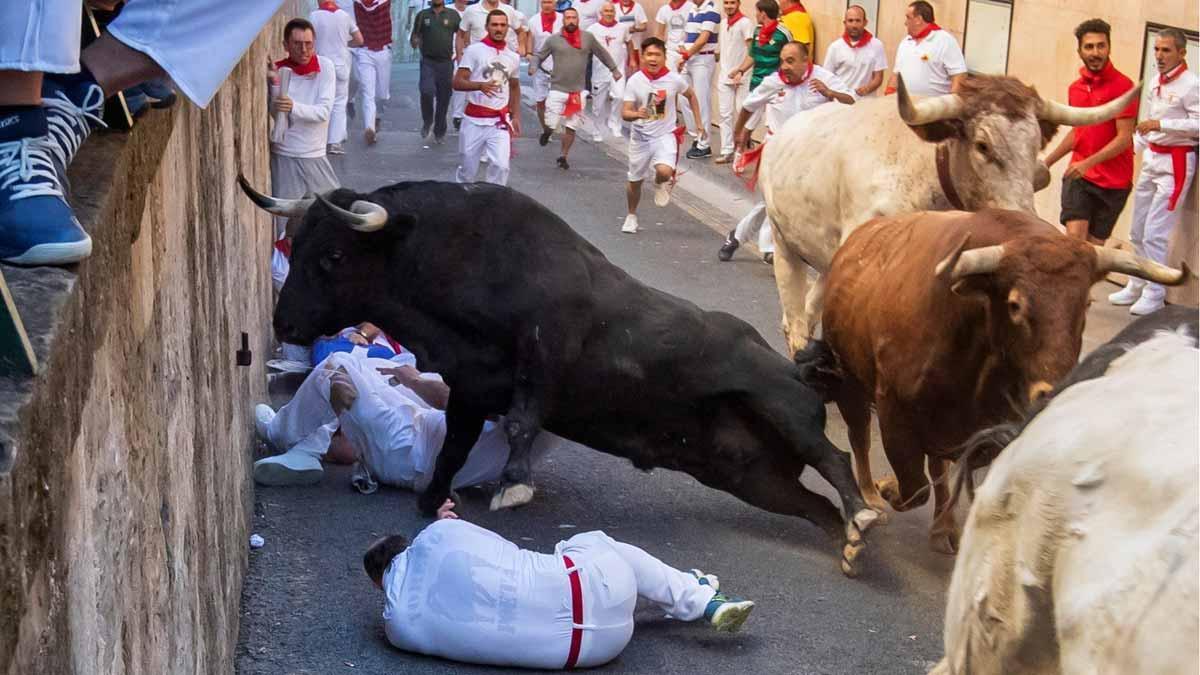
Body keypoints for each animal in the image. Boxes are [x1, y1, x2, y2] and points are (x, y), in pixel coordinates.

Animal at [246, 177, 883, 571]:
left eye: (333, 255)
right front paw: (432, 500)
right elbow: (453, 447)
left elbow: (525, 418)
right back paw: (849, 547)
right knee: (815, 506)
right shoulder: (468, 387)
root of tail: (796, 367)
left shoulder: (548, 342)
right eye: (296, 244)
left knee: (835, 459)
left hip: (778, 403)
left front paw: (514, 485)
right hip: (751, 476)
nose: (284, 321)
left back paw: (864, 514)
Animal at [811, 208, 1185, 552]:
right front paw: (886, 490)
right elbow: (914, 486)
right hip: (850, 382)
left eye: (1086, 303)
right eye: (1016, 304)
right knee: (860, 436)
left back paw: (943, 526)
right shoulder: (894, 410)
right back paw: (870, 494)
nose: (1055, 391)